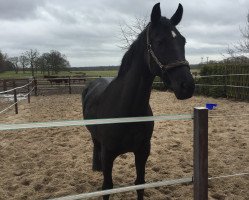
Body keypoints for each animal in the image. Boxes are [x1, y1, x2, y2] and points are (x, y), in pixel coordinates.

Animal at [82, 3, 196, 200]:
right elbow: (107, 187)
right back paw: (96, 167)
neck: (127, 111)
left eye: (183, 41)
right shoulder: (108, 154)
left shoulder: (142, 152)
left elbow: (140, 184)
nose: (187, 86)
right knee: (95, 145)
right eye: (159, 41)